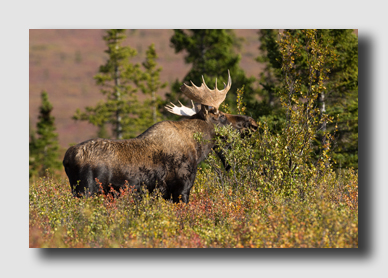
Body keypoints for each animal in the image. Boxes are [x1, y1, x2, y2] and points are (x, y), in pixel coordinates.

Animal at [63, 70, 258, 203]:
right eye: (222, 115)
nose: (252, 122)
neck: (198, 150)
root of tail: (67, 159)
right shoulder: (181, 189)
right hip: (86, 191)